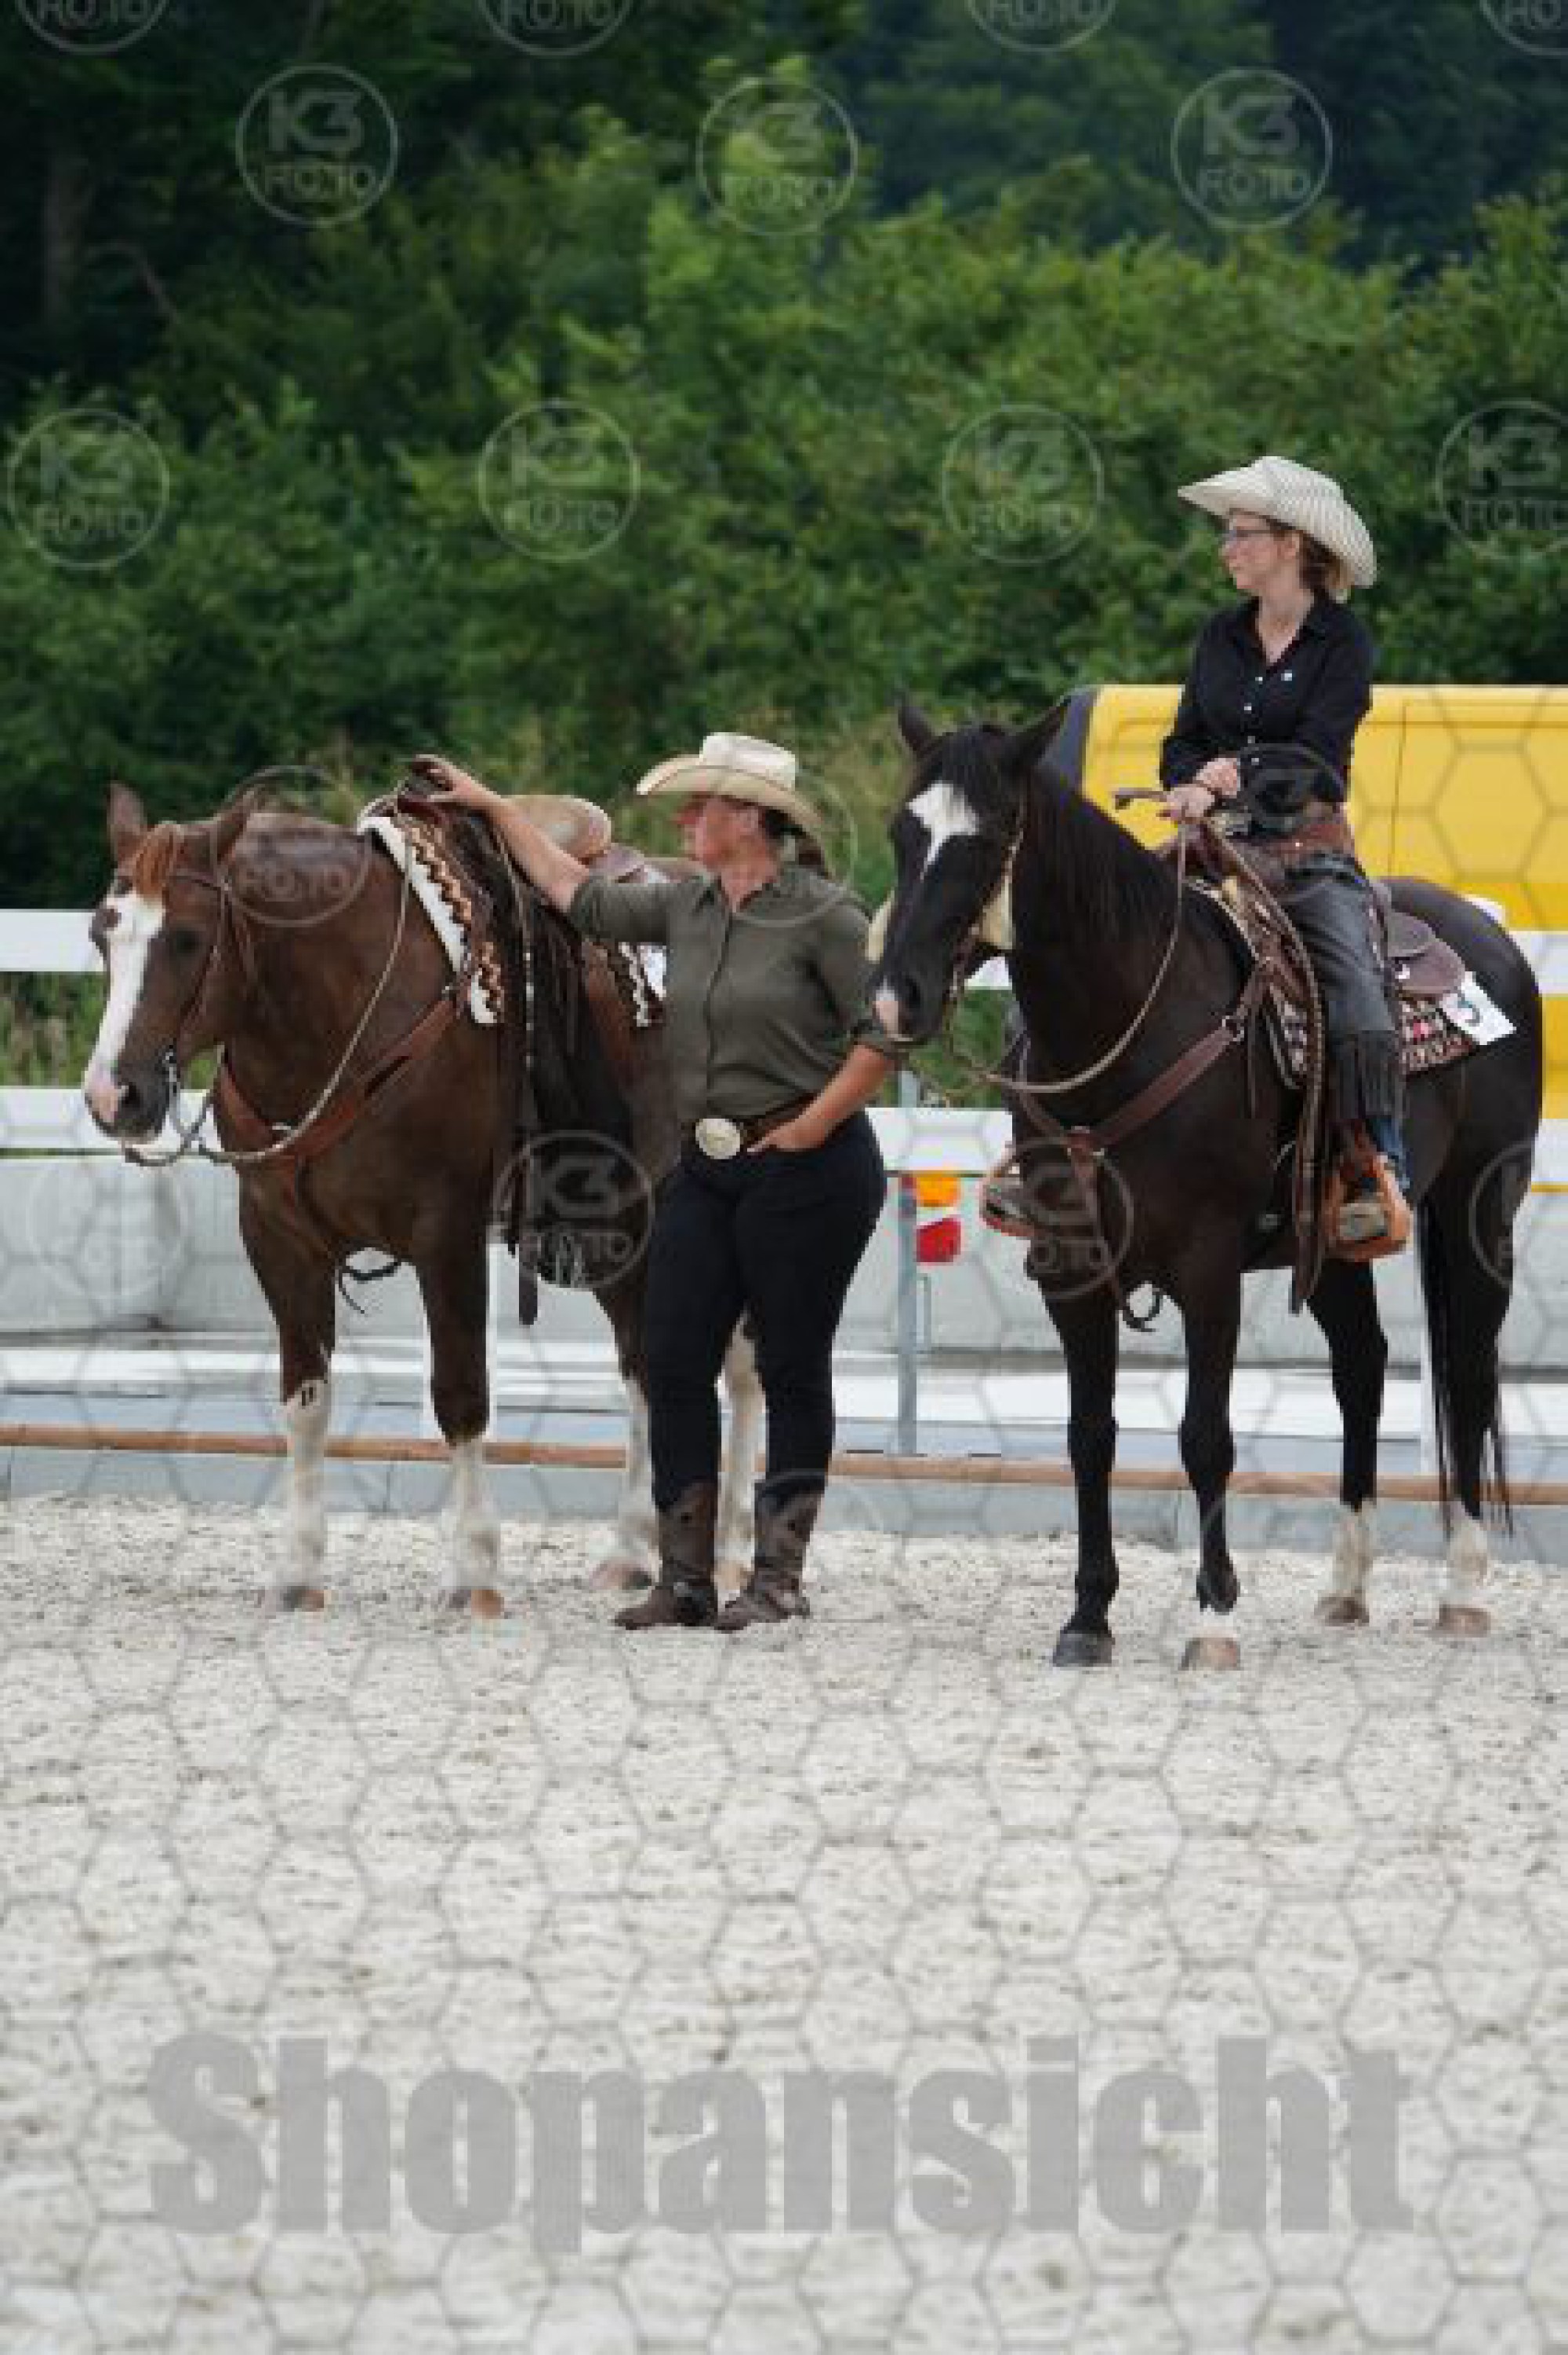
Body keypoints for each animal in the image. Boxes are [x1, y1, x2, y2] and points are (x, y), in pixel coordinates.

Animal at [80, 783, 761, 1613]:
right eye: (100, 934)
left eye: (185, 939)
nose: (114, 1096)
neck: (344, 1008)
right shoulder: (278, 1239)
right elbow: (304, 1402)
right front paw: (297, 1572)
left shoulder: (448, 1236)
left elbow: (460, 1394)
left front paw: (474, 1572)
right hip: (622, 1231)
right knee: (644, 1363)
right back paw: (633, 1550)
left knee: (739, 1369)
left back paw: (730, 1552)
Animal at [871, 702, 1543, 1670]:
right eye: (903, 832)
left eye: (989, 838)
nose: (897, 999)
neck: (1129, 1022)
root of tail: (1489, 943)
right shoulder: (1071, 1269)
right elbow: (1089, 1435)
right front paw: (1088, 1616)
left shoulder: (1206, 1266)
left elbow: (1204, 1438)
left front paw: (1213, 1617)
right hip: (1326, 1239)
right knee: (1362, 1369)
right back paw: (1346, 1585)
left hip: (1477, 1210)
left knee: (1467, 1372)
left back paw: (1461, 1590)